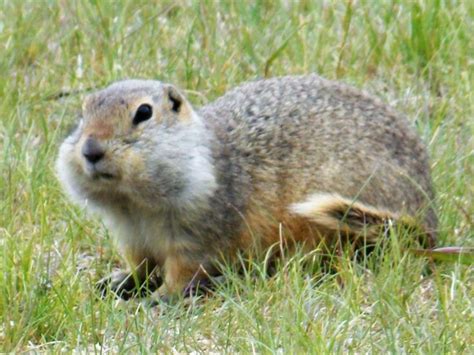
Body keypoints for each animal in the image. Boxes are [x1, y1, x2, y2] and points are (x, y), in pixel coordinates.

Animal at [57, 74, 438, 300]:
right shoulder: (132, 236)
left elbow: (186, 269)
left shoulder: (201, 227)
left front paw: (159, 298)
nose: (90, 150)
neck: (135, 205)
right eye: (84, 113)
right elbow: (140, 265)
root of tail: (429, 221)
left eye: (144, 113)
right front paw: (117, 282)